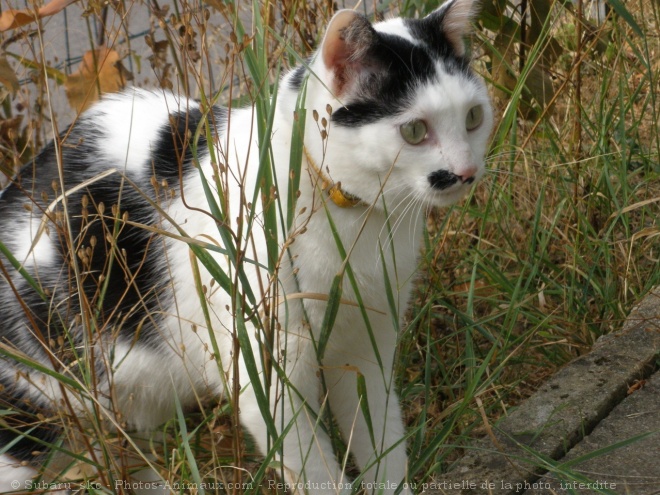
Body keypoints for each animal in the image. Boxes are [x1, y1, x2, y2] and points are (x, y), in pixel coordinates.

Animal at [0, 0, 492, 494]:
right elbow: (315, 469)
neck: (354, 221)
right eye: (414, 131)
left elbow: (382, 444)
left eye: (473, 117)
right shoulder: (267, 372)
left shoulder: (367, 345)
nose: (467, 173)